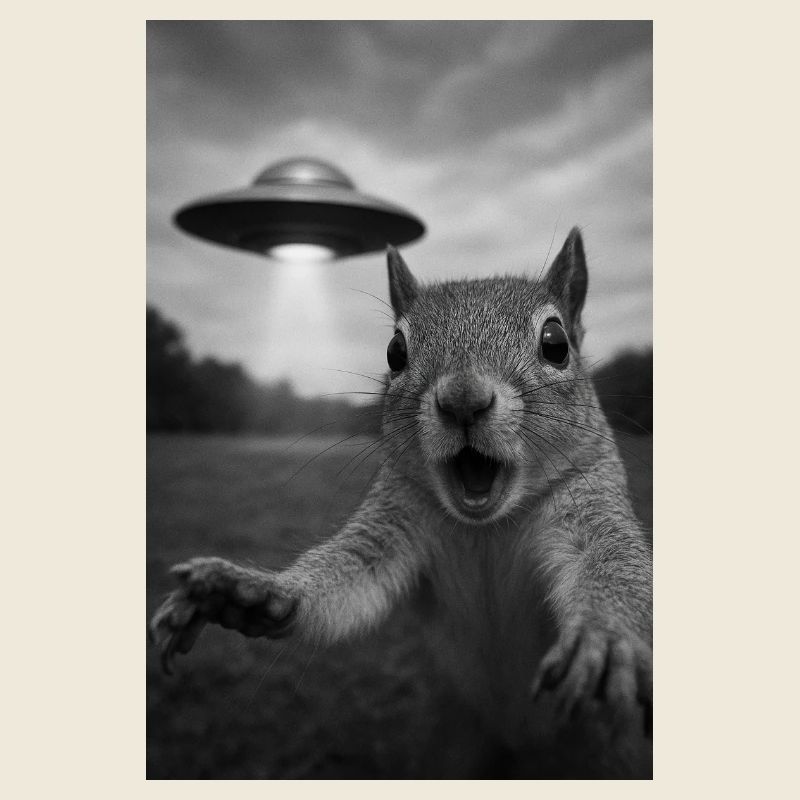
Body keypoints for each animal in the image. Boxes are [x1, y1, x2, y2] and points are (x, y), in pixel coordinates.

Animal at [150, 227, 653, 779]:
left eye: (556, 344)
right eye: (394, 351)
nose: (463, 400)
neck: (487, 527)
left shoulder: (592, 501)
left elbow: (614, 564)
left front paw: (606, 637)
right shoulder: (393, 518)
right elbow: (348, 579)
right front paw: (251, 591)